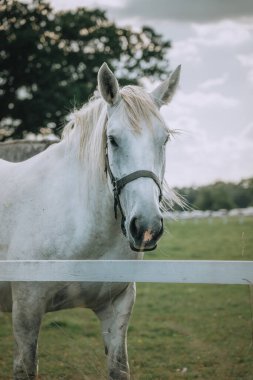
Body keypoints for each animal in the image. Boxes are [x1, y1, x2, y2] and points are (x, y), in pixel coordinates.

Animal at [0, 63, 181, 378]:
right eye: (113, 140)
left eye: (165, 139)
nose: (146, 227)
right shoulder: (26, 310)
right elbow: (25, 368)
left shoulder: (116, 308)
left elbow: (119, 368)